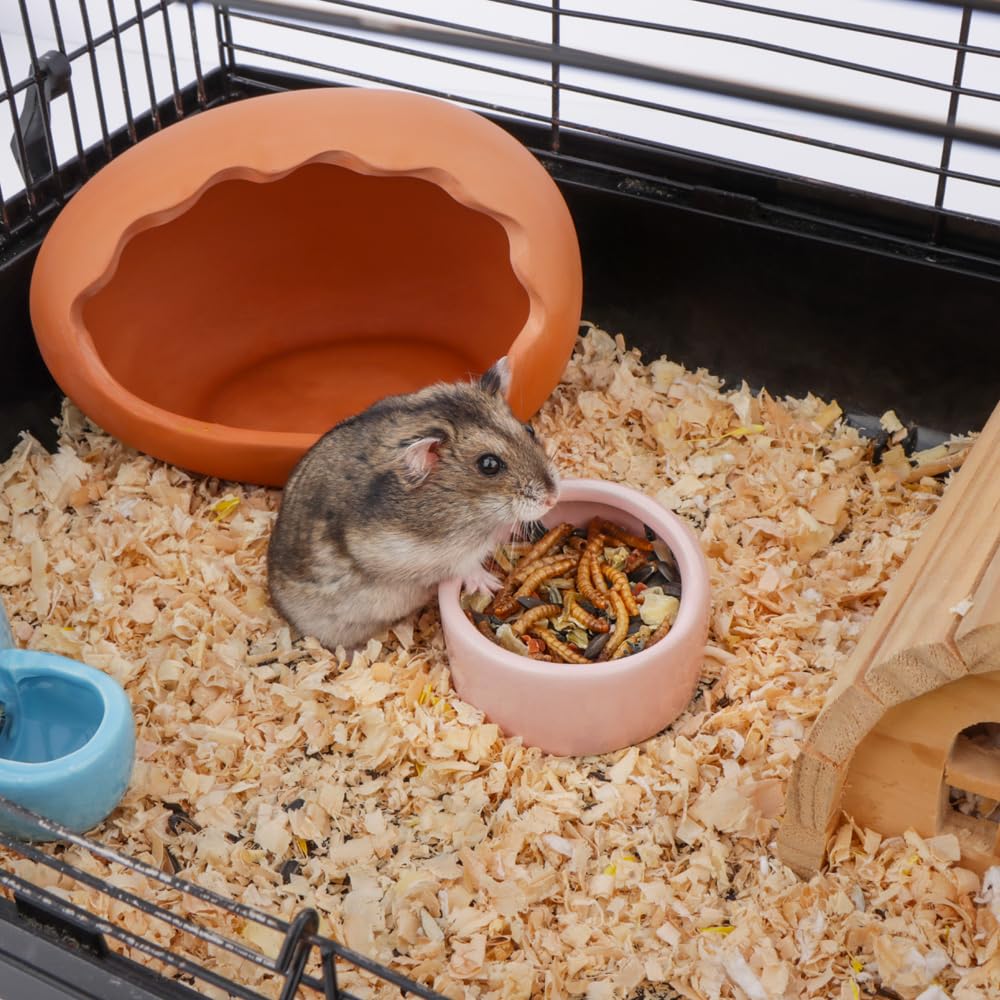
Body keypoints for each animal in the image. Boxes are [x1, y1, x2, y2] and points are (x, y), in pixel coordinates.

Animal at [267, 357, 559, 652]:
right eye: (489, 465)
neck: (469, 508)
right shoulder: (418, 555)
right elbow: (466, 566)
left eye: (529, 430)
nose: (553, 498)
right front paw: (492, 585)